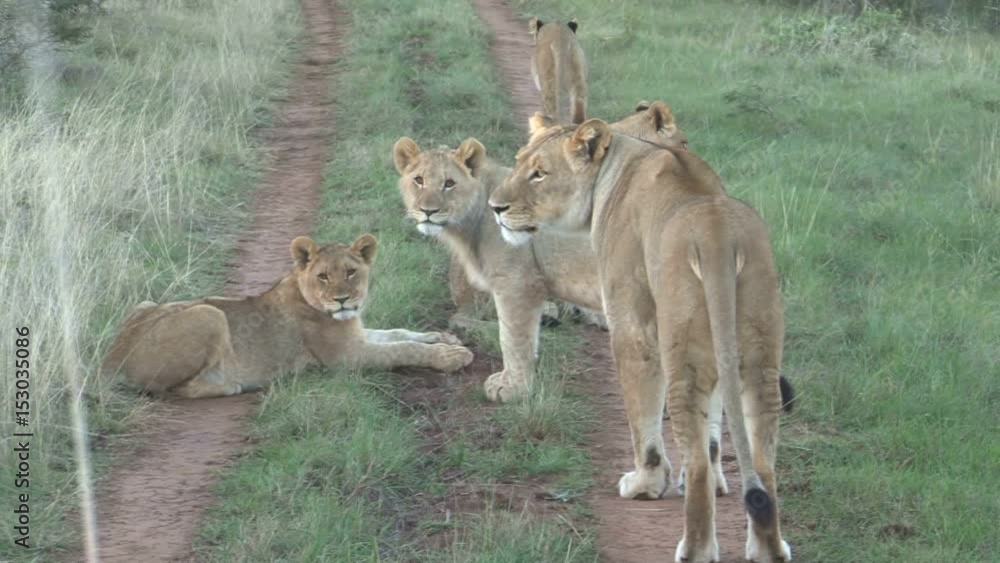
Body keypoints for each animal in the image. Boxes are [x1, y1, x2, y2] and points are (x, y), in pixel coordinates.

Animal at [101, 235, 474, 399]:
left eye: (351, 272)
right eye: (323, 276)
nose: (342, 300)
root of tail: (109, 361)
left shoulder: (357, 334)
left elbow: (398, 333)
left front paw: (442, 337)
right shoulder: (345, 357)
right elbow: (402, 349)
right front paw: (452, 356)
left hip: (147, 302)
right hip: (209, 313)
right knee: (172, 390)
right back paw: (231, 385)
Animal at [487, 120, 791, 562]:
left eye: (539, 173)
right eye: (518, 164)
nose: (495, 208)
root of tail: (718, 236)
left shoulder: (632, 328)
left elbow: (642, 419)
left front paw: (647, 484)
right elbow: (715, 434)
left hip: (683, 353)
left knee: (696, 461)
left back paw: (694, 549)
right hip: (758, 361)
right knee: (762, 462)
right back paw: (769, 550)